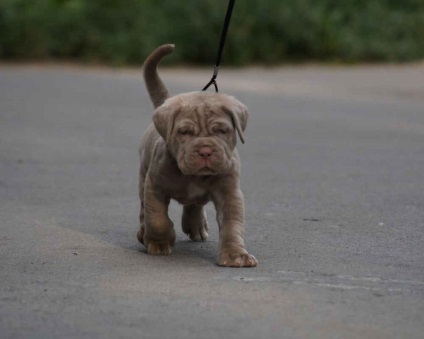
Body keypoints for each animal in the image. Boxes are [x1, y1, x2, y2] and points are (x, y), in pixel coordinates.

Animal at [137, 44, 256, 268]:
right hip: (143, 175)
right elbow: (157, 218)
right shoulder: (155, 185)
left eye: (222, 131)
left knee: (194, 205)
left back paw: (196, 225)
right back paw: (143, 233)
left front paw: (235, 255)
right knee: (144, 209)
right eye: (185, 132)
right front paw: (159, 242)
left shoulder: (229, 192)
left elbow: (232, 224)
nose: (205, 151)